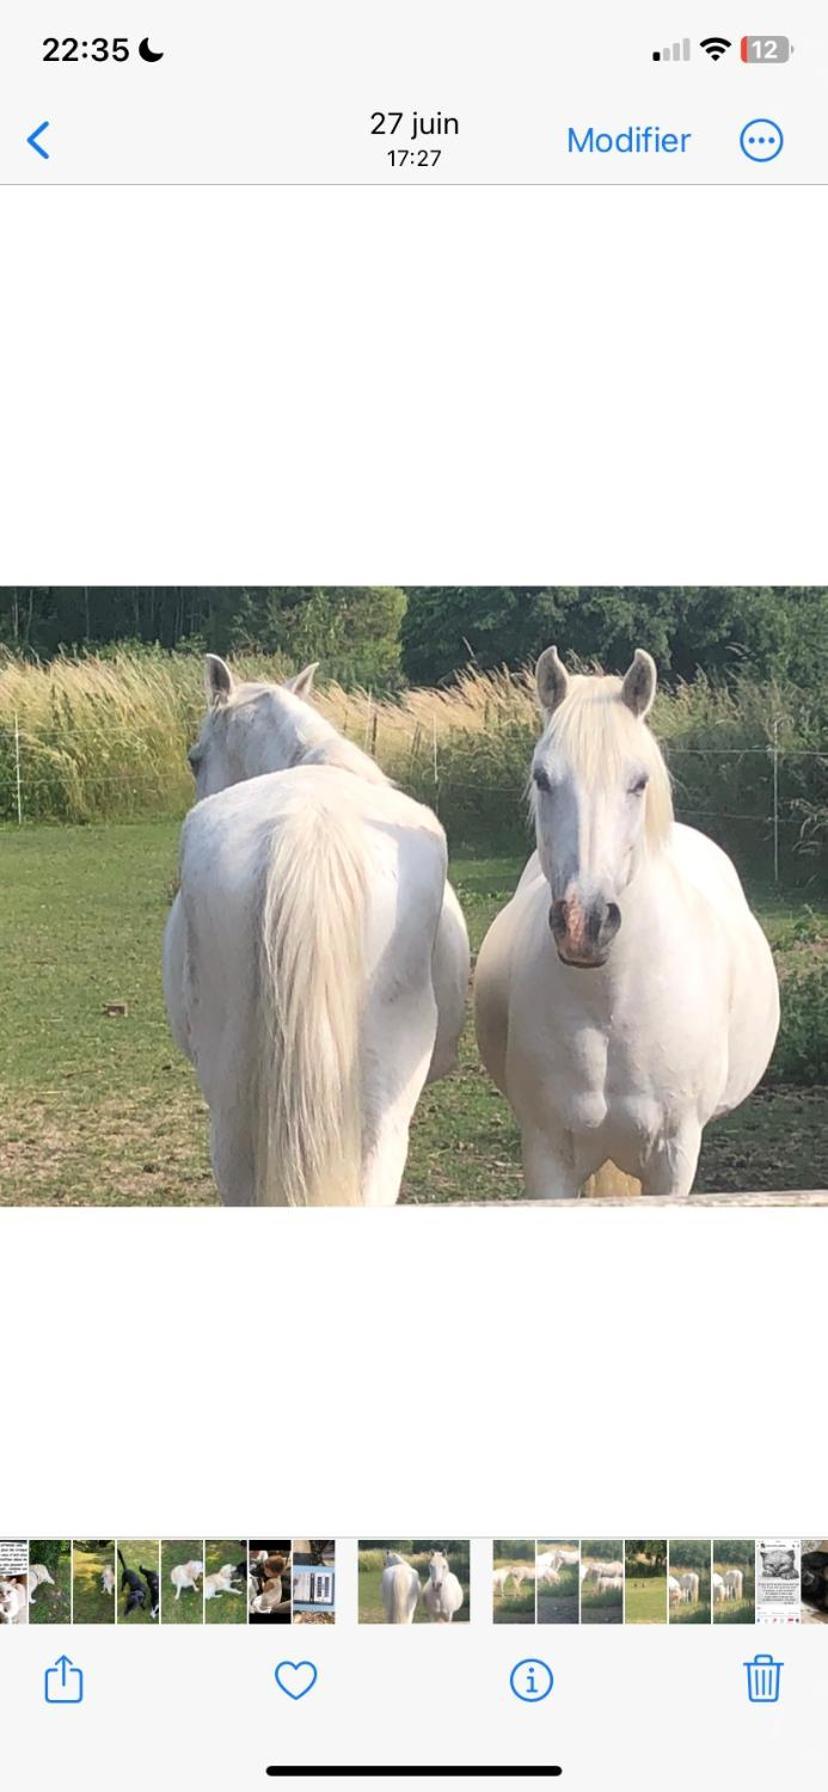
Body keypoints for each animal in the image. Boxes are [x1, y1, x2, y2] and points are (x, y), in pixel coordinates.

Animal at [476, 652, 777, 1197]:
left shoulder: (675, 1156)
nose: (584, 924)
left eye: (639, 782)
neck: (612, 1002)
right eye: (542, 778)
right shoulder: (547, 1154)